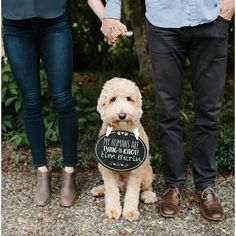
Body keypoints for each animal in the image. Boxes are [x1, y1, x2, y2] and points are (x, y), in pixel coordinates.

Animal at [91, 77, 158, 221]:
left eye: (129, 98)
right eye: (113, 99)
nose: (122, 115)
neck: (122, 132)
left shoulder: (136, 170)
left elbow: (133, 193)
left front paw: (130, 212)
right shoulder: (106, 168)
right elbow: (111, 190)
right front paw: (113, 209)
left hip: (147, 171)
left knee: (146, 187)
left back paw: (148, 195)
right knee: (113, 188)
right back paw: (100, 189)